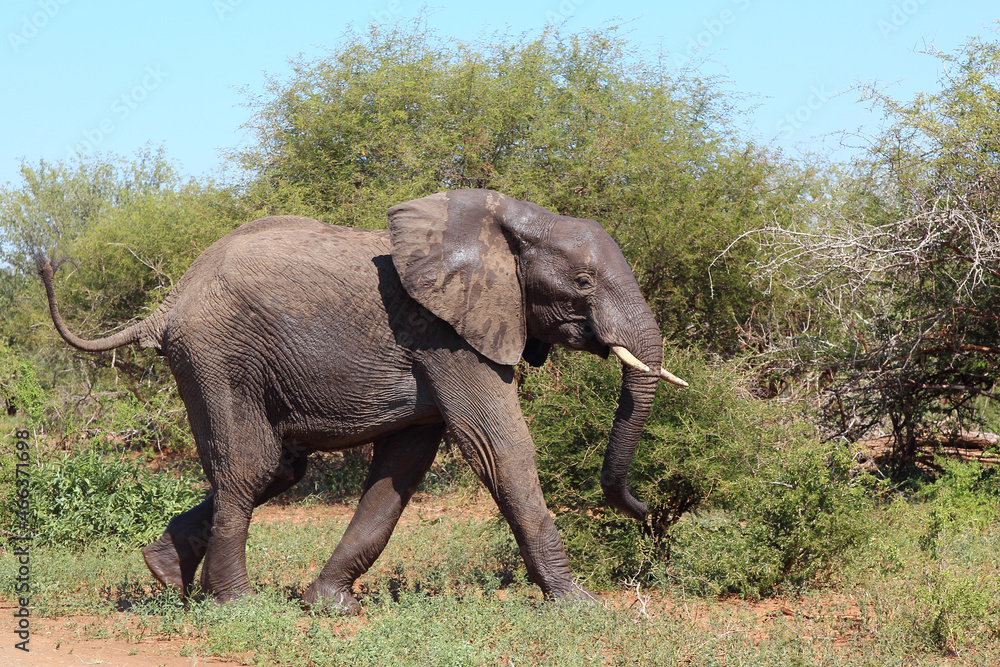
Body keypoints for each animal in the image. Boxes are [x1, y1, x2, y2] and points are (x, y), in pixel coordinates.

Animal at [37, 188, 687, 612]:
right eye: (583, 282)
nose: (645, 511)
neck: (515, 224)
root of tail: (170, 301)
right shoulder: (446, 335)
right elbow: (499, 449)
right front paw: (580, 605)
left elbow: (401, 469)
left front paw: (330, 607)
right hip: (217, 355)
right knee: (248, 468)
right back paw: (238, 607)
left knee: (277, 468)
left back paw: (164, 574)